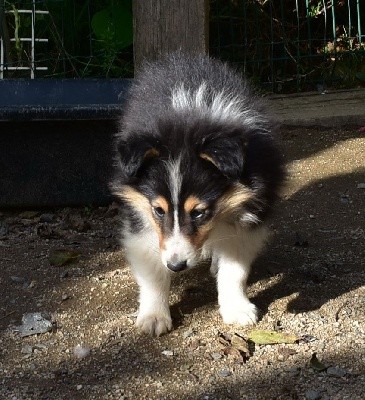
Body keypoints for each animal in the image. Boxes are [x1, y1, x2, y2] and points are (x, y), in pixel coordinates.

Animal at [111, 52, 284, 334]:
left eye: (200, 212)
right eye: (158, 210)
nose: (176, 265)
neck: (189, 117)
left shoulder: (251, 211)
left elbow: (234, 269)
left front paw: (237, 309)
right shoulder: (141, 217)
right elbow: (152, 272)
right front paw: (154, 317)